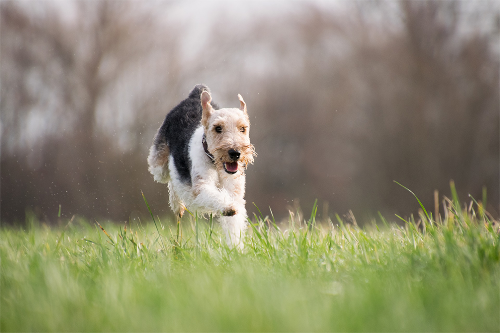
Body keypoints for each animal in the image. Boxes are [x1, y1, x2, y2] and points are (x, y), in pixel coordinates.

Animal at [146, 85, 256, 246]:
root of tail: (194, 94)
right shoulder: (201, 187)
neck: (215, 164)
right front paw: (228, 207)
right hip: (159, 166)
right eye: (218, 128)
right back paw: (177, 205)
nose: (235, 153)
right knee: (171, 178)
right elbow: (216, 197)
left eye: (243, 128)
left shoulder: (235, 192)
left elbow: (234, 223)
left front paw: (236, 248)